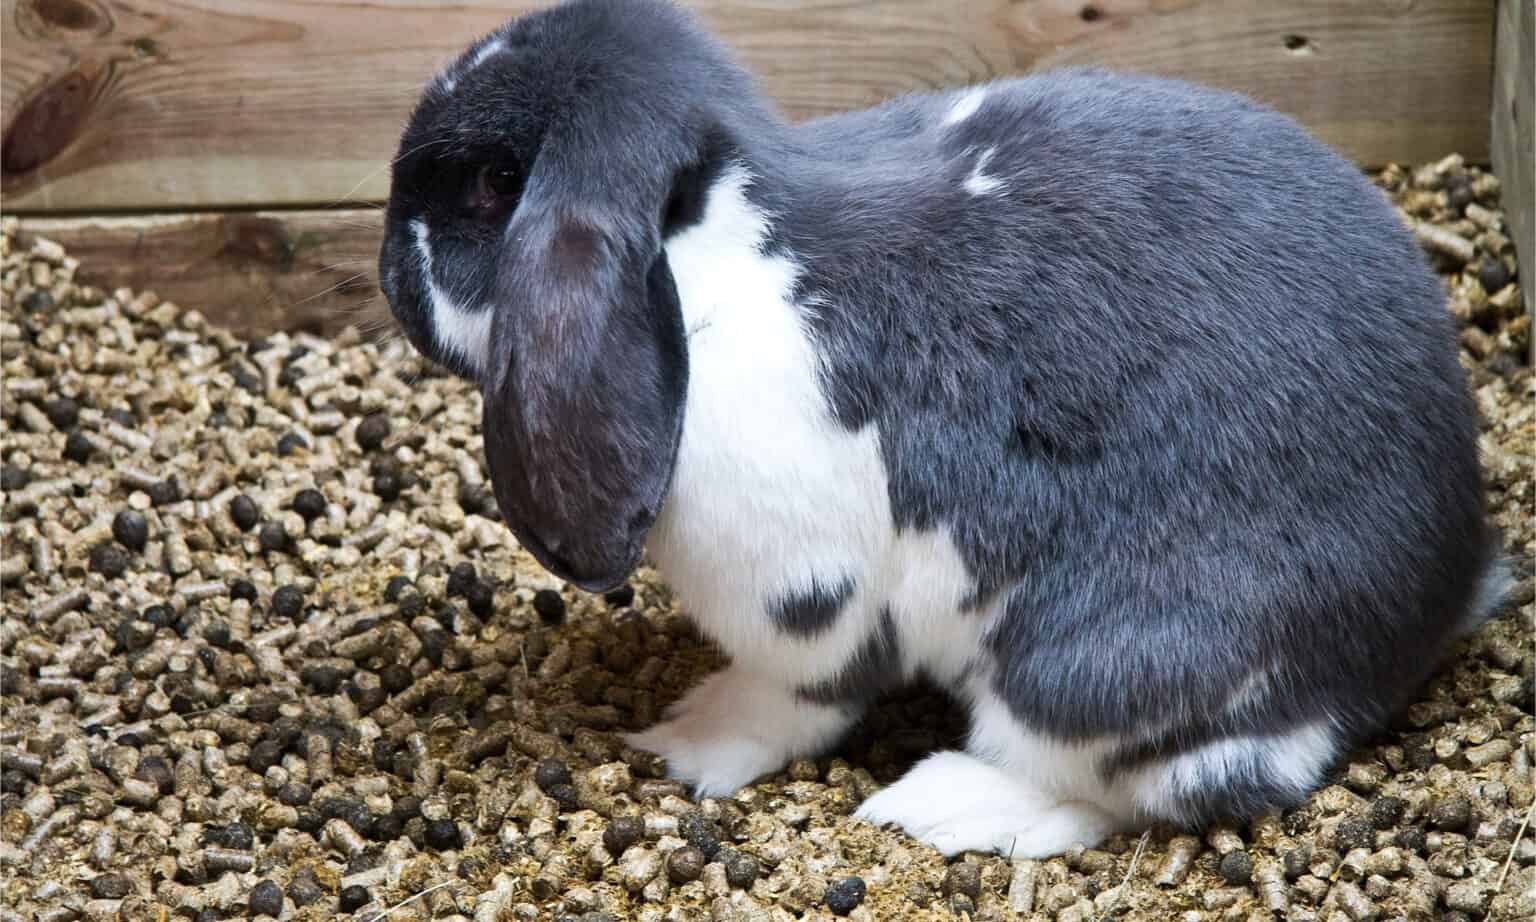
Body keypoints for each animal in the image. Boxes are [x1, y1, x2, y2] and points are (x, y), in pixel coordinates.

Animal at [376, 0, 1510, 858]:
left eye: (495, 184)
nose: (389, 270)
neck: (713, 247)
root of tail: (1443, 587)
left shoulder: (802, 589)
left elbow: (793, 697)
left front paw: (689, 741)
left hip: (1096, 664)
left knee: (1160, 780)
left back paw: (942, 805)